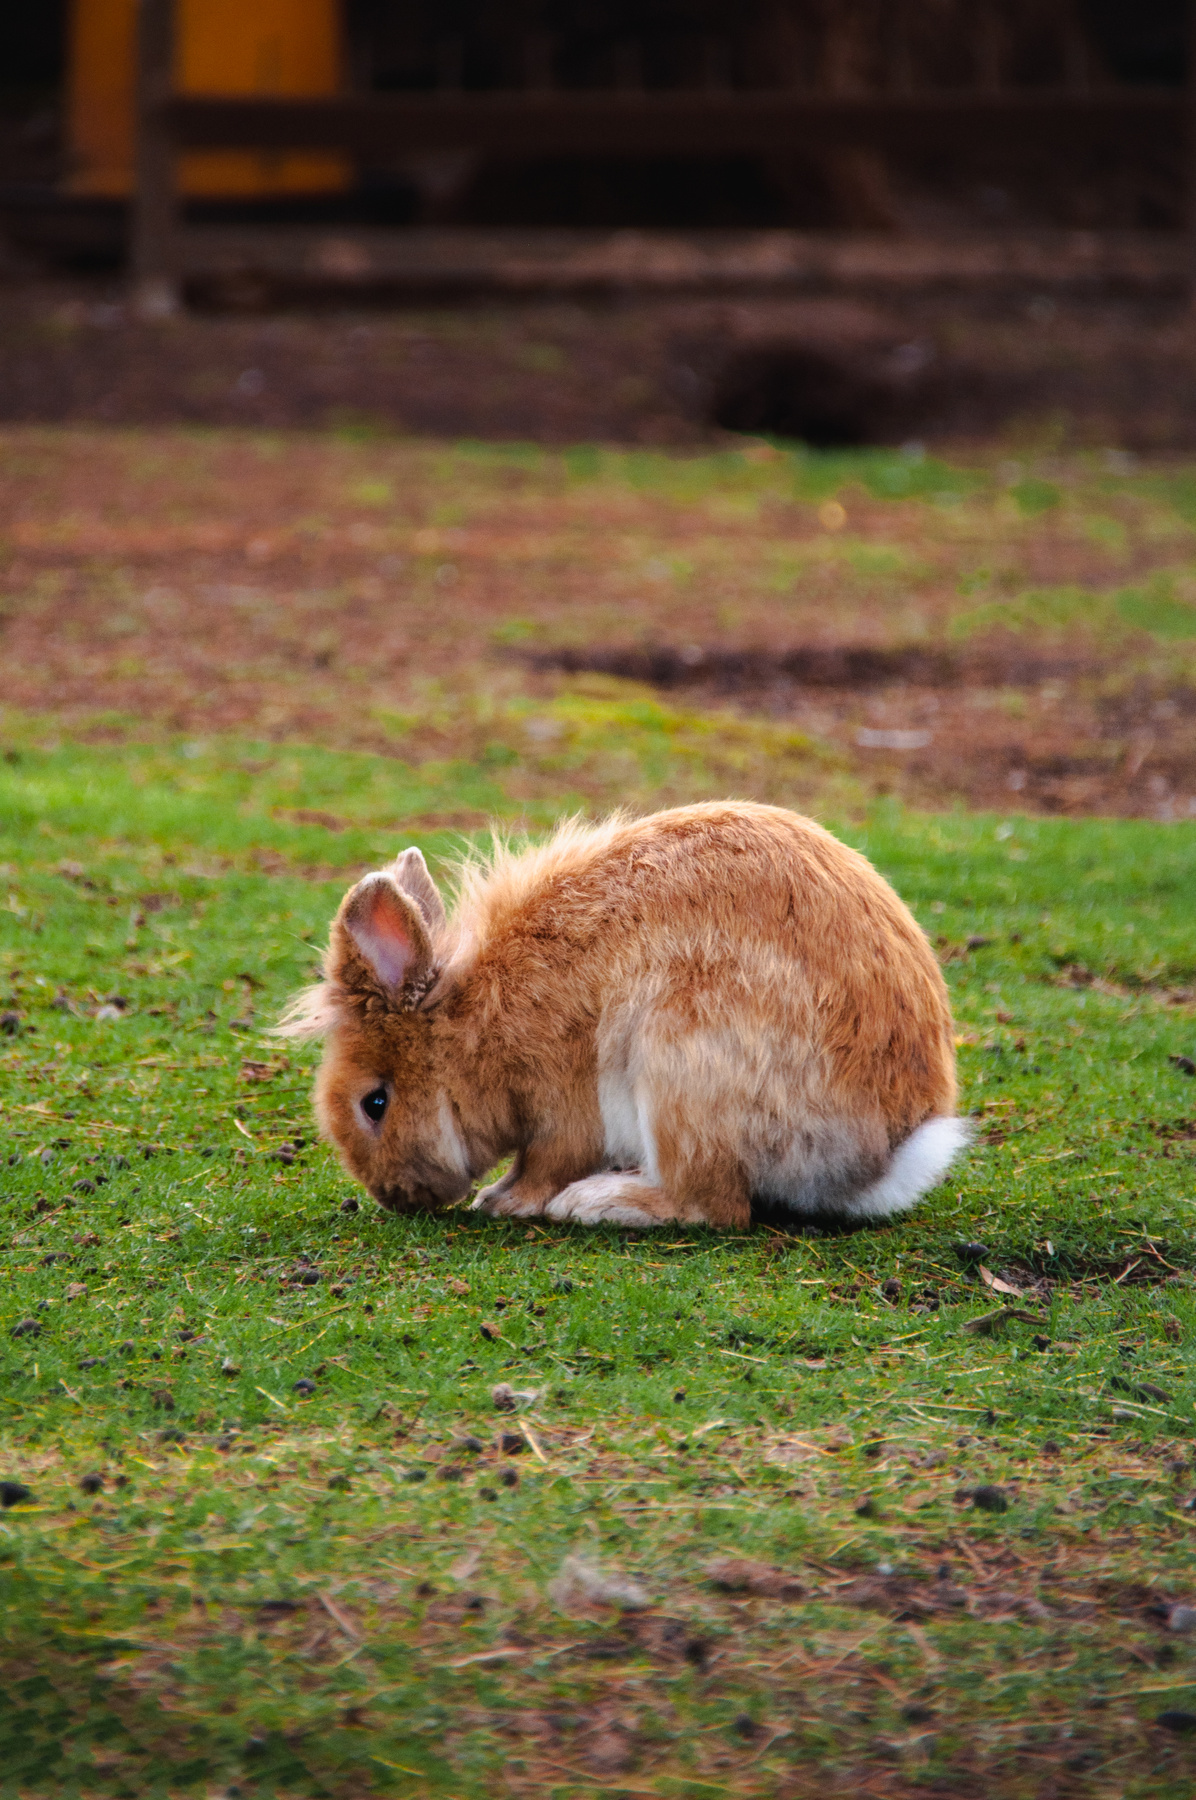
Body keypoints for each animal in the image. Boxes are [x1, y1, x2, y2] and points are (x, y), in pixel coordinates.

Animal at [278, 801, 970, 1229]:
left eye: (375, 1104)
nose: (395, 1198)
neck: (475, 1024)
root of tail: (882, 1154)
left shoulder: (565, 1103)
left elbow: (548, 1161)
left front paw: (504, 1202)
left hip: (678, 1061)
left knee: (713, 1205)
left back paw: (595, 1203)